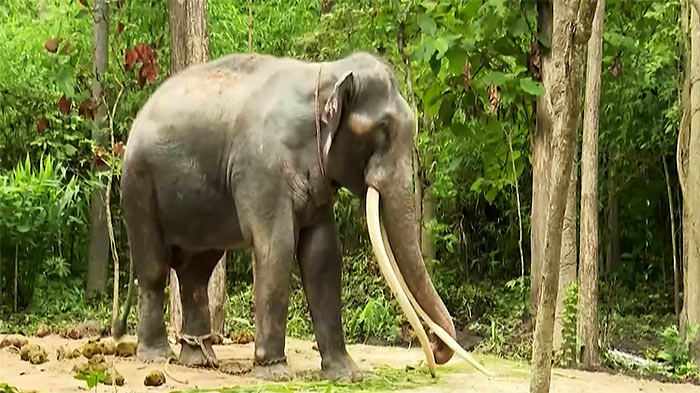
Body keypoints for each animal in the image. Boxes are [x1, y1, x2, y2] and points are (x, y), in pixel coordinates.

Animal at [112, 50, 484, 382]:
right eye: (382, 129)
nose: (432, 350)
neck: (325, 73)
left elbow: (322, 254)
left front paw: (348, 375)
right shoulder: (262, 167)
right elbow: (276, 246)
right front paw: (274, 372)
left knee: (196, 272)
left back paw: (199, 359)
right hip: (138, 185)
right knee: (155, 268)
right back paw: (156, 356)